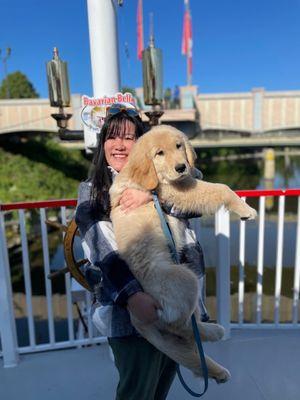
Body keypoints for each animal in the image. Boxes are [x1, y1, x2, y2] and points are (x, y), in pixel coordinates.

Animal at [109, 125, 256, 382]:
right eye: (159, 153)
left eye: (179, 146)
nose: (181, 167)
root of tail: (137, 318)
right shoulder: (176, 192)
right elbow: (222, 188)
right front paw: (247, 210)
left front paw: (195, 168)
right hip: (185, 279)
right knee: (181, 328)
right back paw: (214, 332)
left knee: (188, 338)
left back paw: (214, 353)